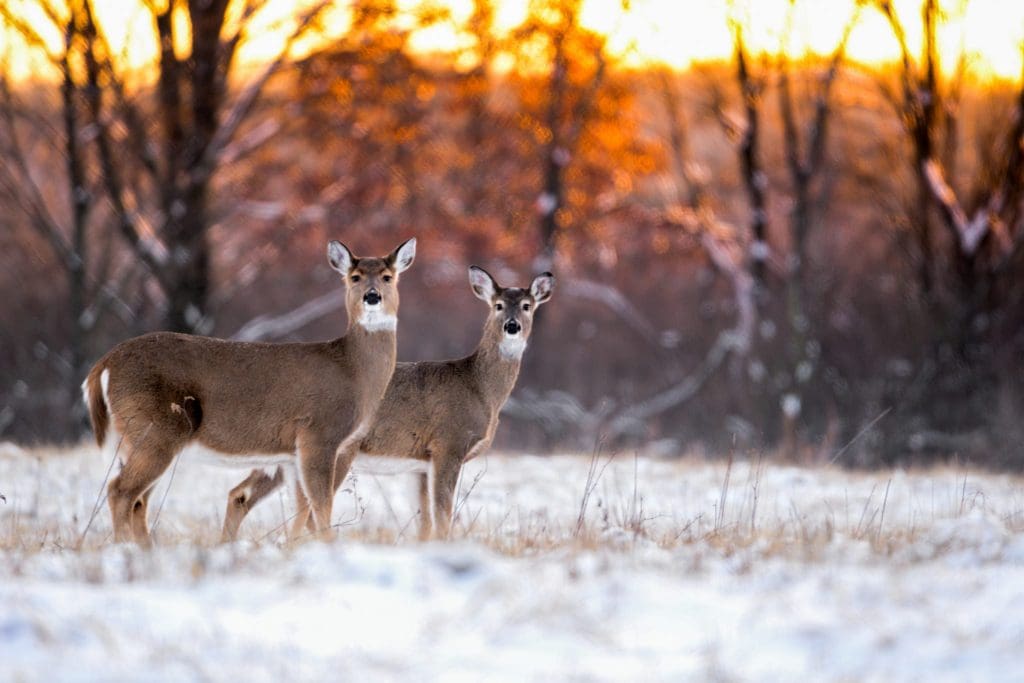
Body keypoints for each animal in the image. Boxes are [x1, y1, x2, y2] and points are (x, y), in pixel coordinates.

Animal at [79, 237, 415, 548]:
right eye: (355, 277)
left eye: (388, 276)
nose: (372, 296)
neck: (354, 371)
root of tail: (104, 364)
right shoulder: (319, 434)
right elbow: (320, 504)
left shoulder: (295, 452)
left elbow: (301, 507)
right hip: (155, 429)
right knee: (121, 491)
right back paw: (124, 548)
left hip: (139, 436)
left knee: (138, 499)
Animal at [223, 264, 557, 540]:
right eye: (498, 305)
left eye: (527, 306)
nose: (512, 326)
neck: (479, 389)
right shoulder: (448, 443)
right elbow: (443, 515)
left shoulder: (419, 463)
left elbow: (426, 521)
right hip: (333, 450)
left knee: (240, 494)